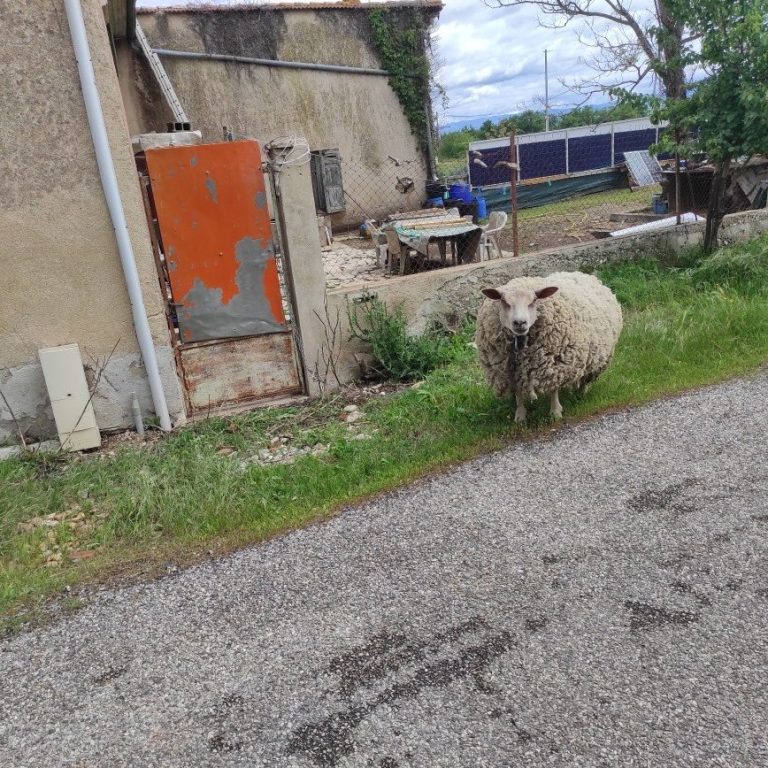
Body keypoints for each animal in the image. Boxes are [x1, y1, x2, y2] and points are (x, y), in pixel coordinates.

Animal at [474, 272, 624, 426]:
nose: (520, 323)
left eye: (533, 301)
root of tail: (581, 274)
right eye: (504, 301)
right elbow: (518, 392)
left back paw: (581, 393)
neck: (520, 344)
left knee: (585, 378)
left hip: (595, 359)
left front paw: (555, 413)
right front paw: (520, 416)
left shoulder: (555, 363)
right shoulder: (509, 371)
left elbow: (553, 389)